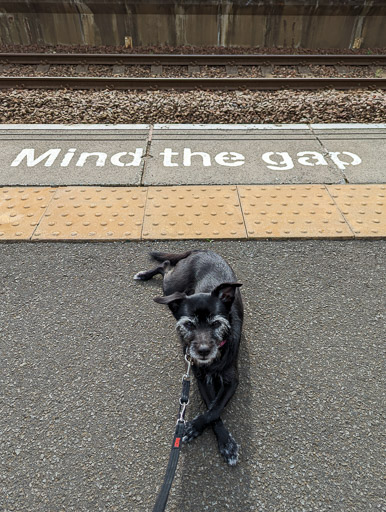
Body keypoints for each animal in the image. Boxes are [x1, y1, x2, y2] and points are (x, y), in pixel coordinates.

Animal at [134, 250, 243, 466]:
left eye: (216, 323)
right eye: (189, 324)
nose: (202, 351)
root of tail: (202, 250)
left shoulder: (231, 380)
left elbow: (215, 408)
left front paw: (216, 439)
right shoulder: (200, 378)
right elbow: (212, 407)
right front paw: (222, 440)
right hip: (172, 287)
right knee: (165, 266)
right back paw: (144, 275)